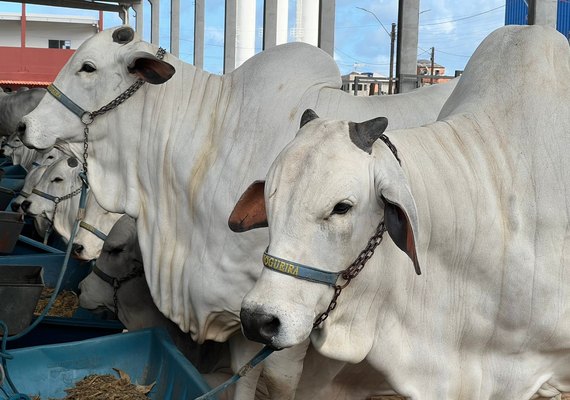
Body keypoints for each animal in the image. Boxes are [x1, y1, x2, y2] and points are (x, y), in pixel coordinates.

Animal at [16, 26, 452, 398]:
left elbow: (277, 382)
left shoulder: (292, 315)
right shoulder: (245, 317)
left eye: (87, 67)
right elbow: (243, 378)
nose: (23, 126)